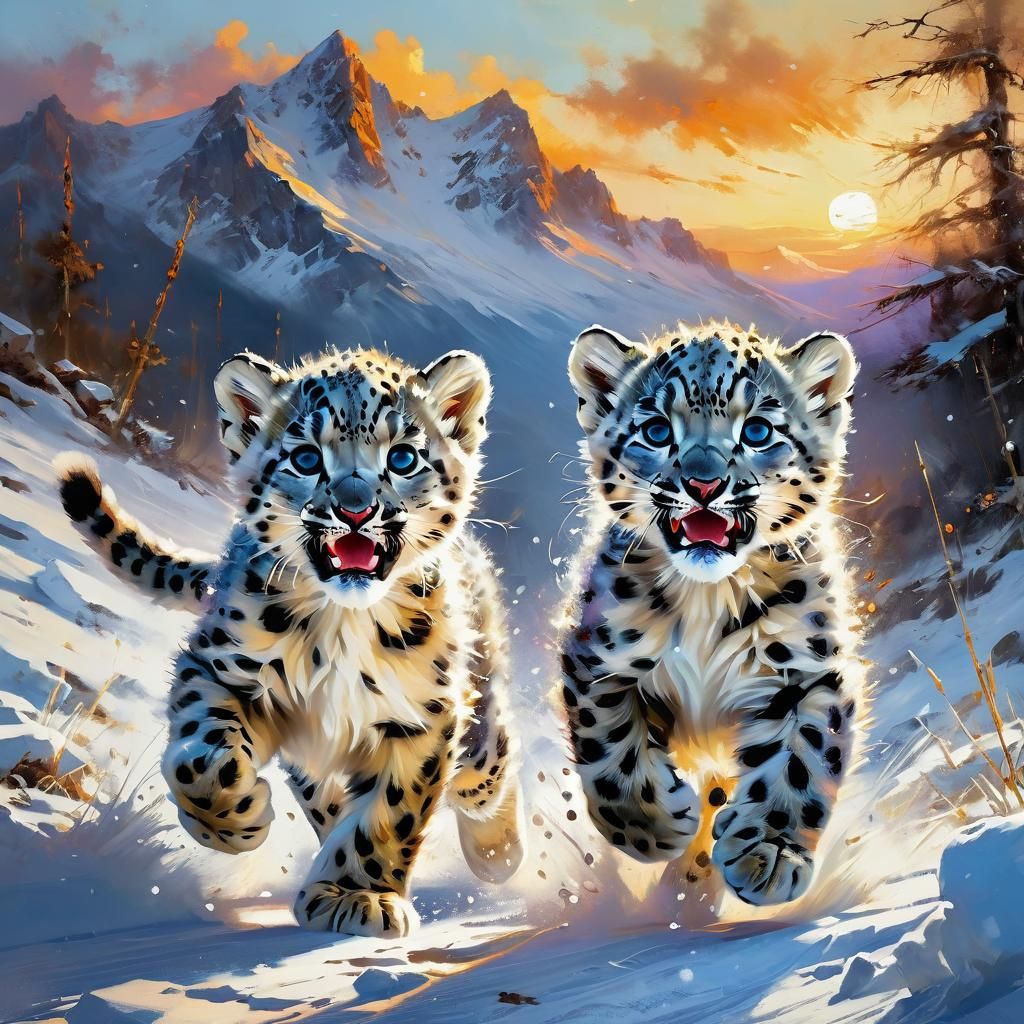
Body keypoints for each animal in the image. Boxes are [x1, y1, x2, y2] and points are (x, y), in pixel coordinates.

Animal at [57, 346, 524, 936]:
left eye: (402, 459)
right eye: (305, 458)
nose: (355, 510)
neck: (344, 627)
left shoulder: (424, 717)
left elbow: (395, 809)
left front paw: (359, 894)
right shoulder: (222, 668)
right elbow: (199, 760)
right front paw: (238, 821)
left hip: (477, 721)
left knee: (489, 769)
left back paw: (498, 856)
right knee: (326, 797)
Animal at [558, 321, 866, 908]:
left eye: (759, 430)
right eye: (656, 430)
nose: (703, 485)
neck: (708, 599)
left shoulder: (809, 669)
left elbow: (803, 759)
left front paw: (769, 854)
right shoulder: (596, 657)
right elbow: (606, 748)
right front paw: (651, 827)